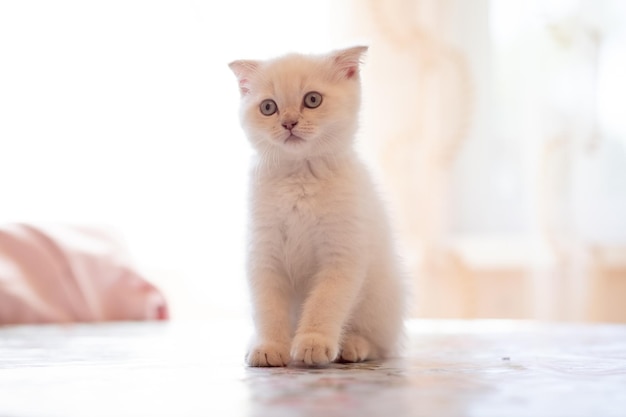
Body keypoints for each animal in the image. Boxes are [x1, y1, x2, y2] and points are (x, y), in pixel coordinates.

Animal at [229, 44, 404, 366]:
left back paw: (353, 346)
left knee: (382, 344)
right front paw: (269, 347)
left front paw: (313, 343)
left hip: (383, 297)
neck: (300, 176)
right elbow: (268, 308)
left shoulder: (343, 253)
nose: (289, 122)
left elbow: (325, 302)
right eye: (268, 107)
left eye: (312, 100)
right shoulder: (264, 253)